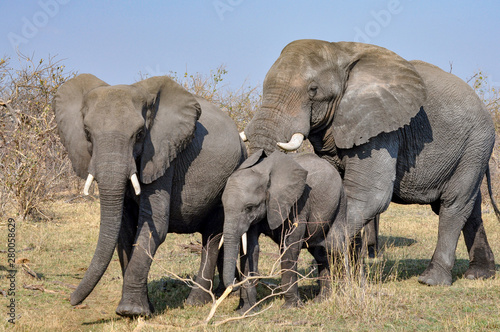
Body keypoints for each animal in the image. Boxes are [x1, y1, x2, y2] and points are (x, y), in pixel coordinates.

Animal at [54, 74, 246, 318]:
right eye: (87, 133)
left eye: (139, 135)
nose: (72, 300)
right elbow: (124, 228)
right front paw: (144, 309)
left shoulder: (161, 154)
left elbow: (153, 223)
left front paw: (131, 312)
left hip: (233, 173)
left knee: (212, 235)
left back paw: (197, 302)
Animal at [221, 150, 346, 312]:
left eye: (249, 207)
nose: (233, 286)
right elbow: (250, 249)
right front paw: (247, 311)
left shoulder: (298, 204)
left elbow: (289, 247)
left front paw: (290, 307)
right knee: (320, 253)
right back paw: (323, 299)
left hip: (340, 203)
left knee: (335, 247)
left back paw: (343, 294)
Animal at [240, 39, 498, 286]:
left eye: (313, 90)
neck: (339, 53)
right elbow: (339, 192)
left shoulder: (381, 127)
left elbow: (370, 195)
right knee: (471, 207)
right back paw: (479, 274)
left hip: (475, 143)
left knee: (454, 204)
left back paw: (432, 280)